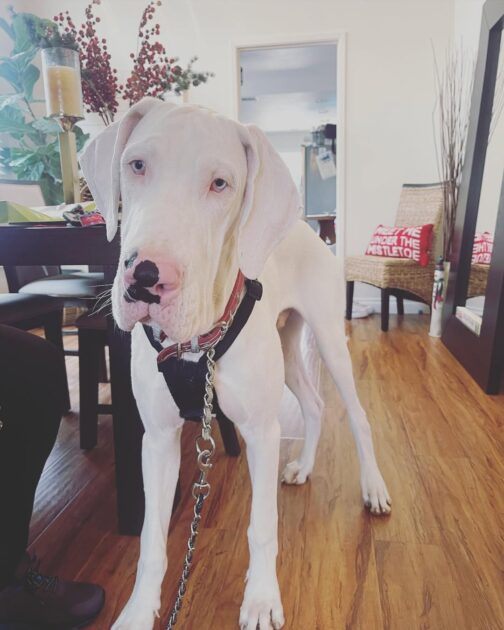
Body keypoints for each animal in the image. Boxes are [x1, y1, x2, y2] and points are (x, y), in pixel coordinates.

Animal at [80, 97, 391, 630]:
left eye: (220, 184)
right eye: (136, 165)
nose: (146, 279)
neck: (193, 349)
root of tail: (307, 228)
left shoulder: (261, 433)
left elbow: (262, 526)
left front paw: (262, 600)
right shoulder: (157, 440)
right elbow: (150, 540)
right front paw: (140, 610)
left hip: (330, 341)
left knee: (357, 416)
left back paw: (373, 487)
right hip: (286, 350)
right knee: (313, 405)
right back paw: (304, 466)